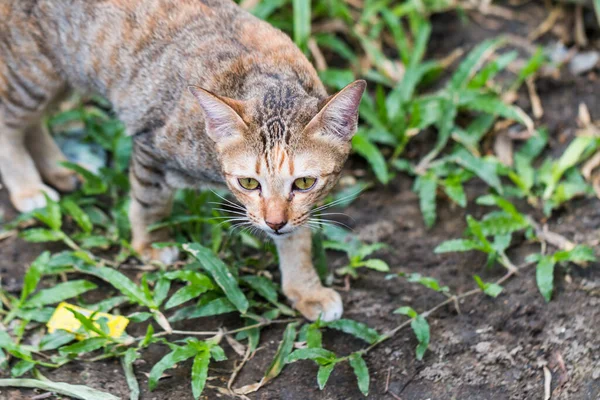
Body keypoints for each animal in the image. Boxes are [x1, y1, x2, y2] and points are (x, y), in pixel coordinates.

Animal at [0, 0, 366, 320]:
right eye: (249, 182)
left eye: (304, 182)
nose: (274, 223)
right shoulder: (151, 146)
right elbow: (150, 203)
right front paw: (150, 244)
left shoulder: (298, 210)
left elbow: (297, 238)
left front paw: (306, 289)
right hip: (33, 73)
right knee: (11, 123)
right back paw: (28, 187)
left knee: (34, 121)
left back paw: (58, 169)